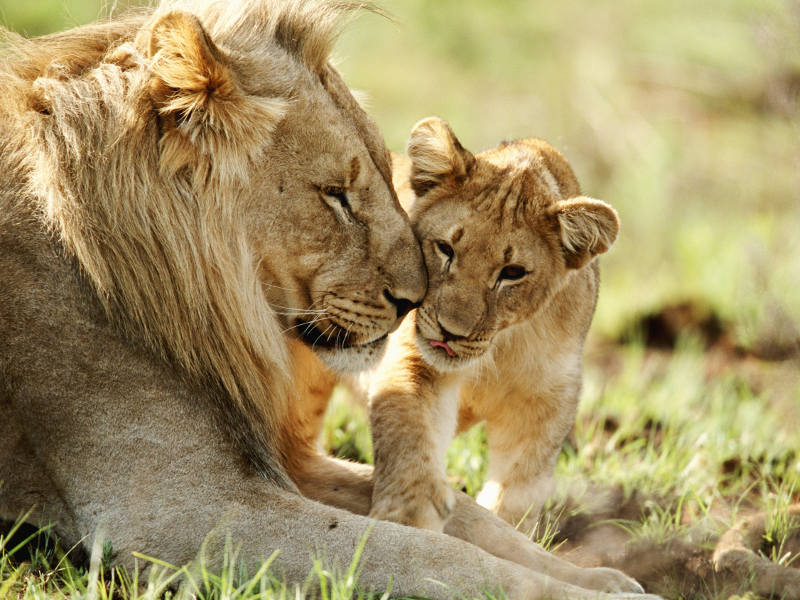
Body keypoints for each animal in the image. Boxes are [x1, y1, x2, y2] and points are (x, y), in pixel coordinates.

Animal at [364, 118, 620, 534]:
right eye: (445, 249)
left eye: (512, 272)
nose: (450, 331)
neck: (501, 346)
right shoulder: (415, 357)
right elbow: (405, 422)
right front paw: (408, 512)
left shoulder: (547, 399)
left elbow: (519, 485)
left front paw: (507, 530)